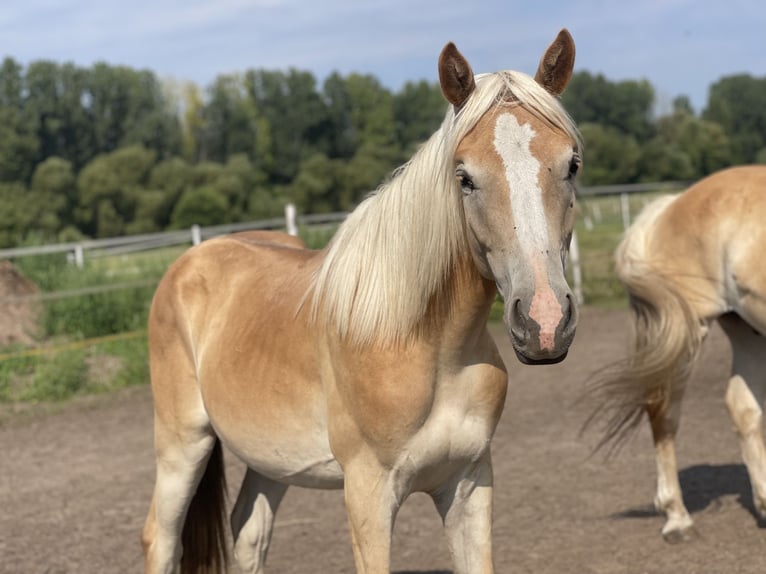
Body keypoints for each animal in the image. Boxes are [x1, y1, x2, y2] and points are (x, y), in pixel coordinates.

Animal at [142, 30, 584, 574]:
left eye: (572, 164)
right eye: (464, 177)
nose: (544, 321)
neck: (428, 348)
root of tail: (190, 262)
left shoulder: (469, 484)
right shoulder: (368, 496)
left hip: (270, 459)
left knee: (248, 531)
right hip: (183, 443)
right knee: (162, 538)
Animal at [592, 164, 766, 544]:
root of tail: (670, 205)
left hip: (747, 329)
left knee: (743, 408)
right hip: (688, 332)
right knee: (663, 412)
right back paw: (677, 518)